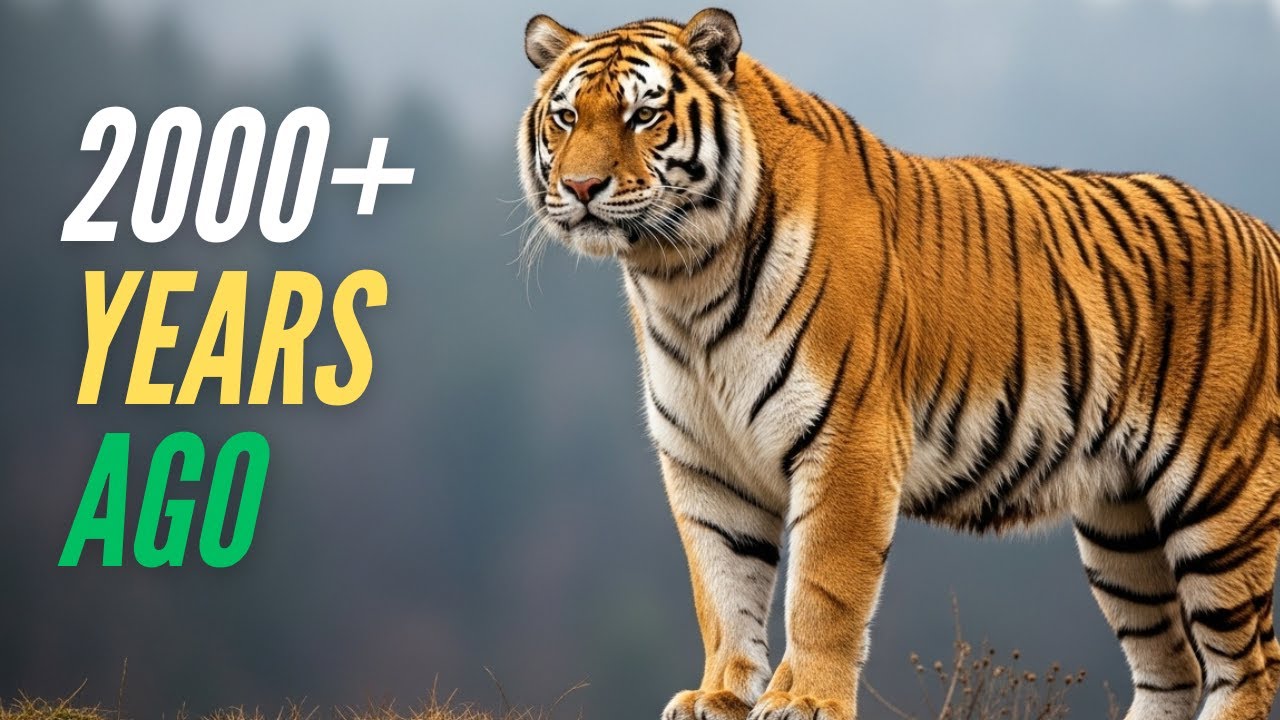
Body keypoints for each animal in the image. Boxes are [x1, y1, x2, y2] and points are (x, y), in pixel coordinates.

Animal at [516, 8, 1280, 720]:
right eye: (566, 116)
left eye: (643, 115)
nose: (581, 187)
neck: (681, 277)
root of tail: (1265, 233)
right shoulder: (704, 460)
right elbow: (722, 590)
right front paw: (720, 696)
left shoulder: (848, 438)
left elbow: (822, 590)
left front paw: (804, 701)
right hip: (1122, 528)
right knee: (1172, 668)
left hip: (1219, 505)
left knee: (1246, 667)